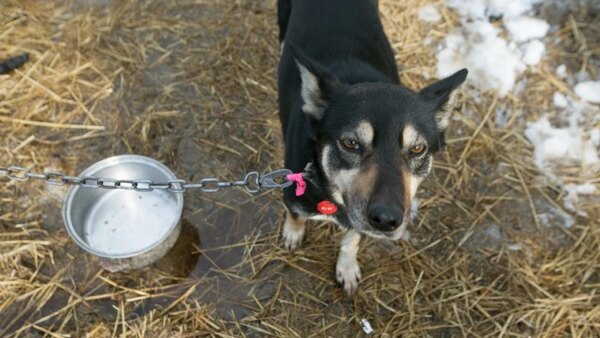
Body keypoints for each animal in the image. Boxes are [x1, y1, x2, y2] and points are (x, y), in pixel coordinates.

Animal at [276, 0, 468, 294]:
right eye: (350, 143)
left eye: (418, 149)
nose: (387, 220)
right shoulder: (293, 193)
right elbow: (295, 216)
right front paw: (293, 233)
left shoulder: (358, 221)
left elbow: (351, 241)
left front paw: (346, 268)